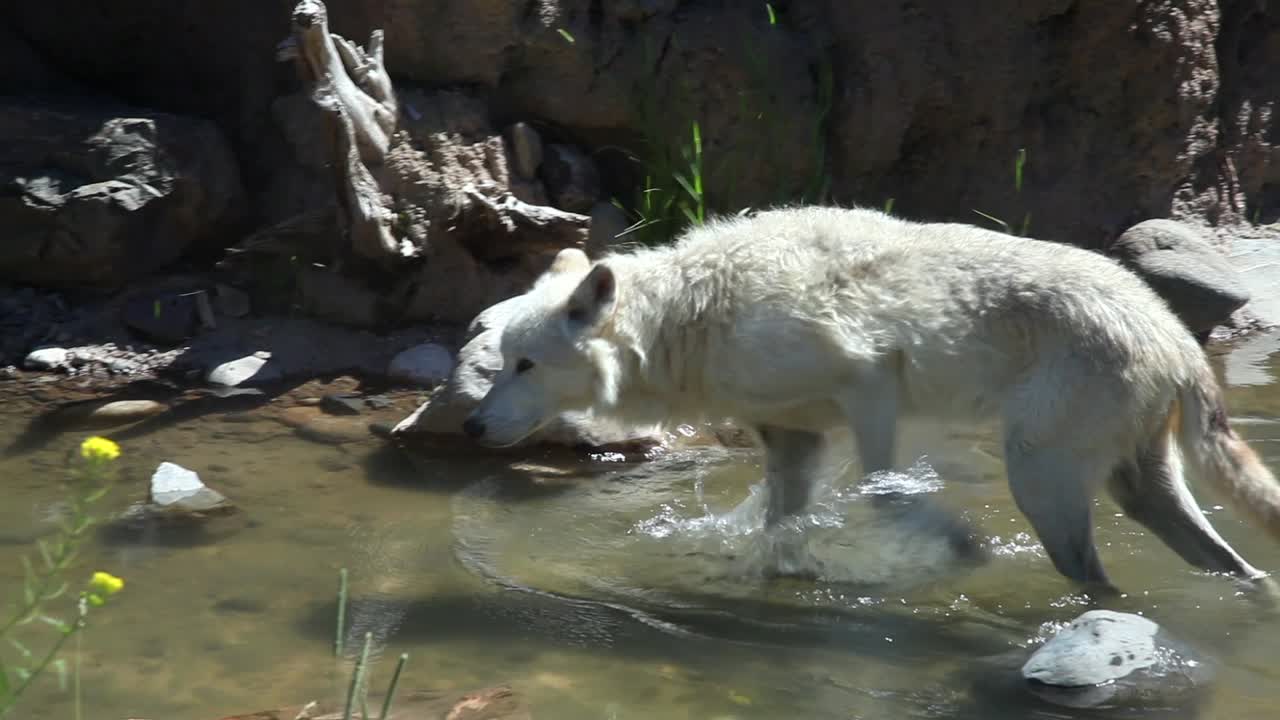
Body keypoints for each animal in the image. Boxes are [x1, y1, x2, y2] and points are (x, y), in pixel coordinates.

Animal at [462, 205, 1280, 591]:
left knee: (1094, 575)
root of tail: (1173, 333)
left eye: (526, 364)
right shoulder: (791, 437)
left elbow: (885, 494)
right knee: (1233, 566)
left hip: (1037, 475)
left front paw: (961, 546)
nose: (471, 425)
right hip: (1136, 485)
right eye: (500, 361)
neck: (692, 315)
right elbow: (780, 530)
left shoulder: (870, 383)